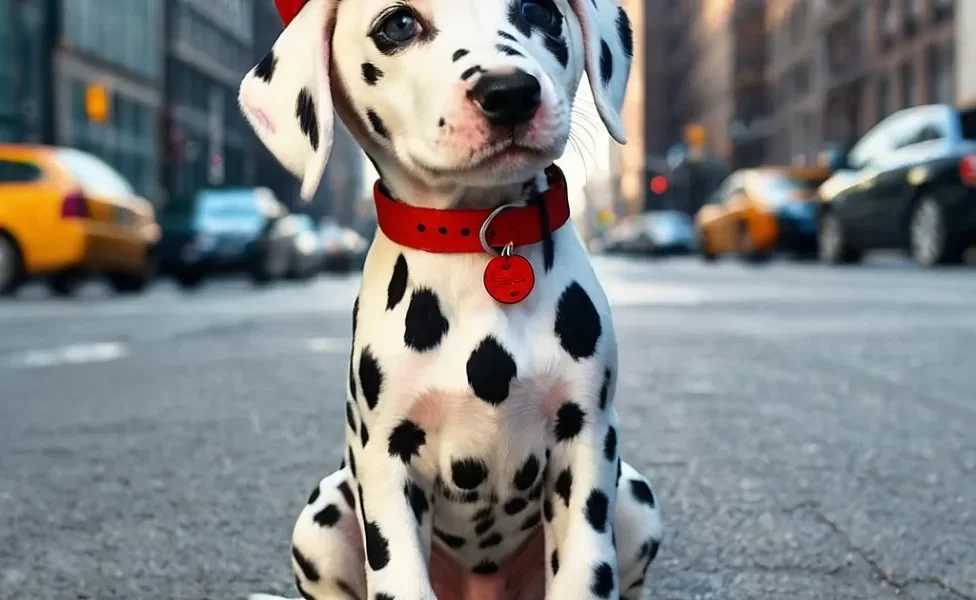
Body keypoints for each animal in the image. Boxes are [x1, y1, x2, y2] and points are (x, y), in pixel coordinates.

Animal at [238, 1, 664, 600]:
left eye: (539, 11)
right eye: (398, 24)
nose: (509, 93)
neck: (477, 236)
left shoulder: (585, 442)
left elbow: (584, 571)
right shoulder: (386, 460)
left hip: (634, 498)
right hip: (322, 517)